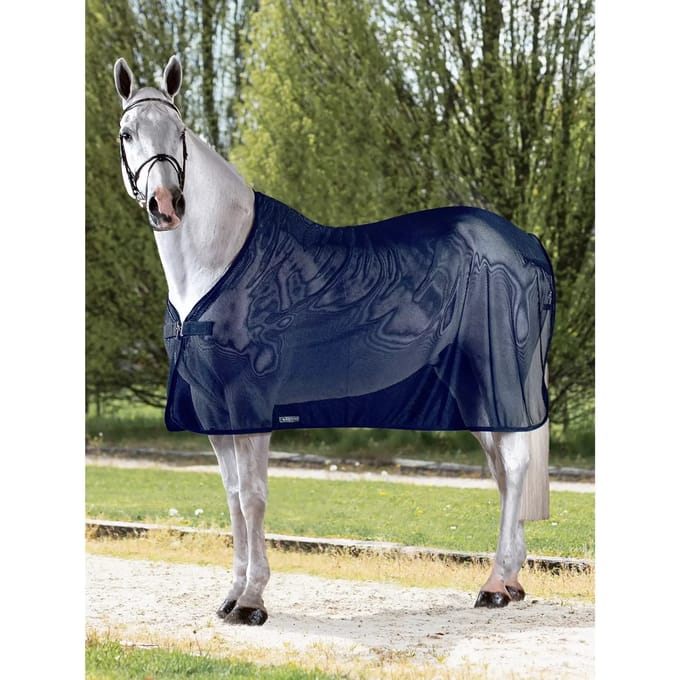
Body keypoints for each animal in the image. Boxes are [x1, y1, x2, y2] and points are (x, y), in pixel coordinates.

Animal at [113, 55, 555, 626]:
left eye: (180, 131)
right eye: (127, 133)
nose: (167, 204)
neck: (221, 258)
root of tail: (524, 243)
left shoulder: (250, 400)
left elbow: (253, 497)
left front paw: (252, 602)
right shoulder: (213, 407)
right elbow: (232, 497)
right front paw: (231, 595)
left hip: (497, 374)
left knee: (515, 466)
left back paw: (496, 585)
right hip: (470, 387)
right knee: (501, 468)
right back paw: (511, 580)